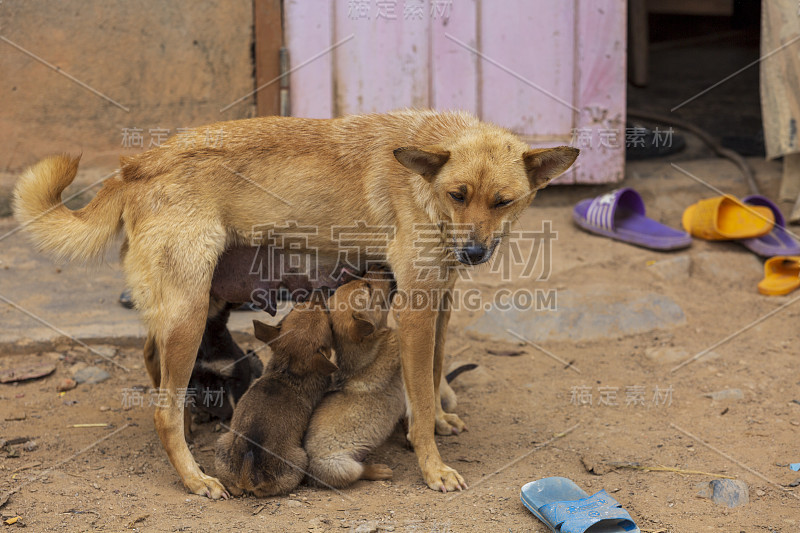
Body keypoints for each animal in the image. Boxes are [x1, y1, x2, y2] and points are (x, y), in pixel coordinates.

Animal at [212, 302, 334, 496]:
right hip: (300, 459)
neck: (288, 370)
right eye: (329, 324)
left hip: (223, 443)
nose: (316, 301)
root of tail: (248, 474)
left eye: (292, 309)